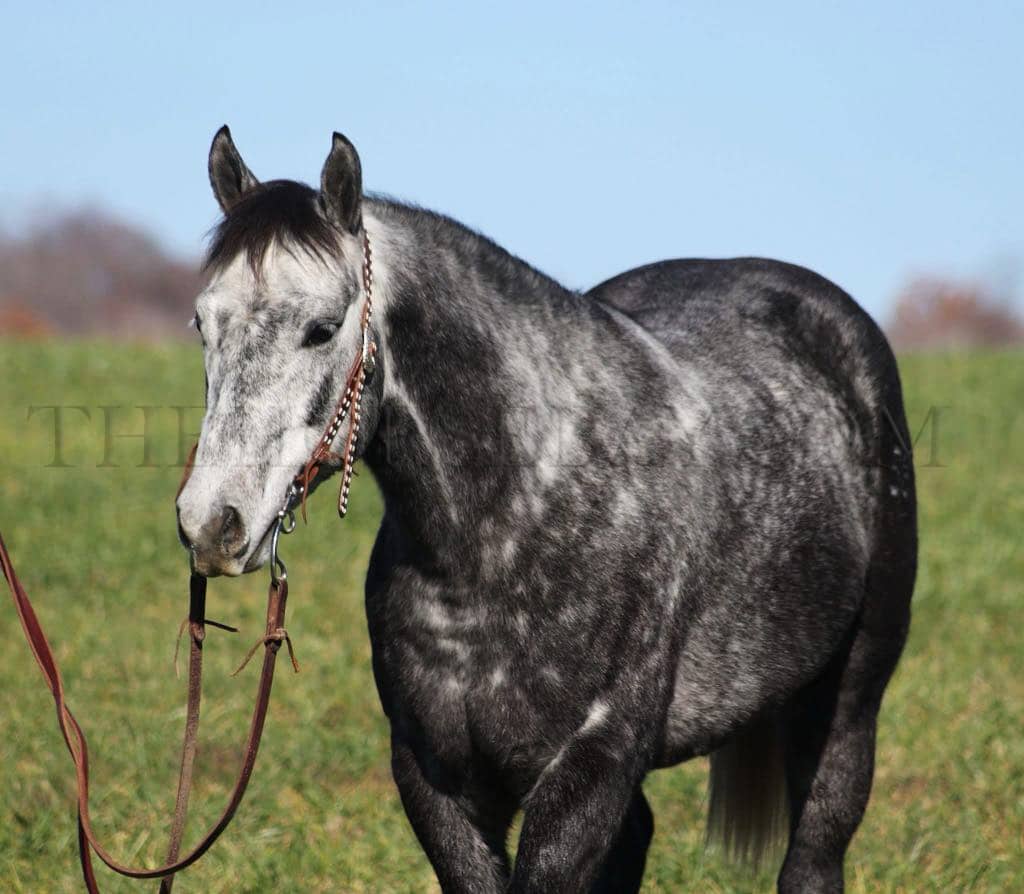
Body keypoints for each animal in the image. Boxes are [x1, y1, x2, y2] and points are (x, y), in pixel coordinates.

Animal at [175, 126, 917, 893]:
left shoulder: (588, 771)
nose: (212, 524)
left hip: (847, 706)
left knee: (816, 849)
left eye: (321, 330)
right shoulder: (436, 779)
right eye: (202, 324)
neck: (505, 535)